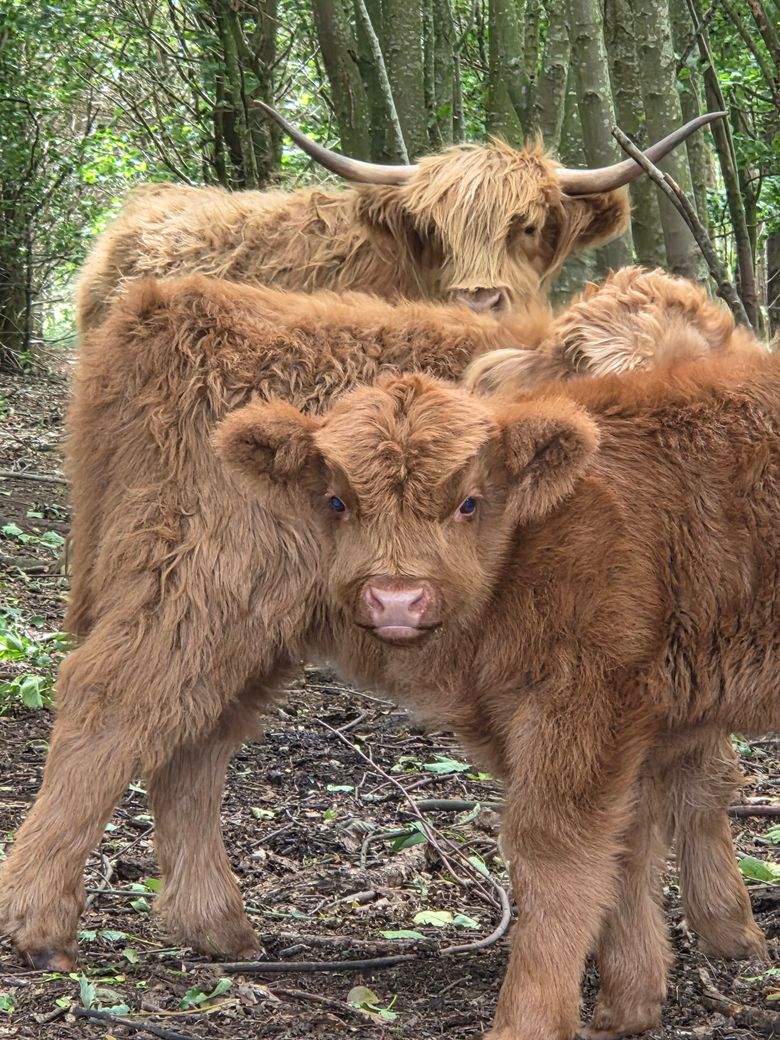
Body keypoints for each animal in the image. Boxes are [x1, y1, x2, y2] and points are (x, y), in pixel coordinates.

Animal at [0, 276, 763, 987]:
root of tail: (169, 304)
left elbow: (705, 773)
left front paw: (729, 927)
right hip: (195, 590)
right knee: (108, 707)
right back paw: (39, 921)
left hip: (250, 626)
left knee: (196, 738)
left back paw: (214, 925)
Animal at [215, 358, 780, 1039]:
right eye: (336, 501)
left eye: (469, 502)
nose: (397, 599)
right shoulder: (626, 728)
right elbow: (627, 845)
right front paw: (629, 1004)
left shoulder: (583, 707)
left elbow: (557, 855)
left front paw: (529, 1020)